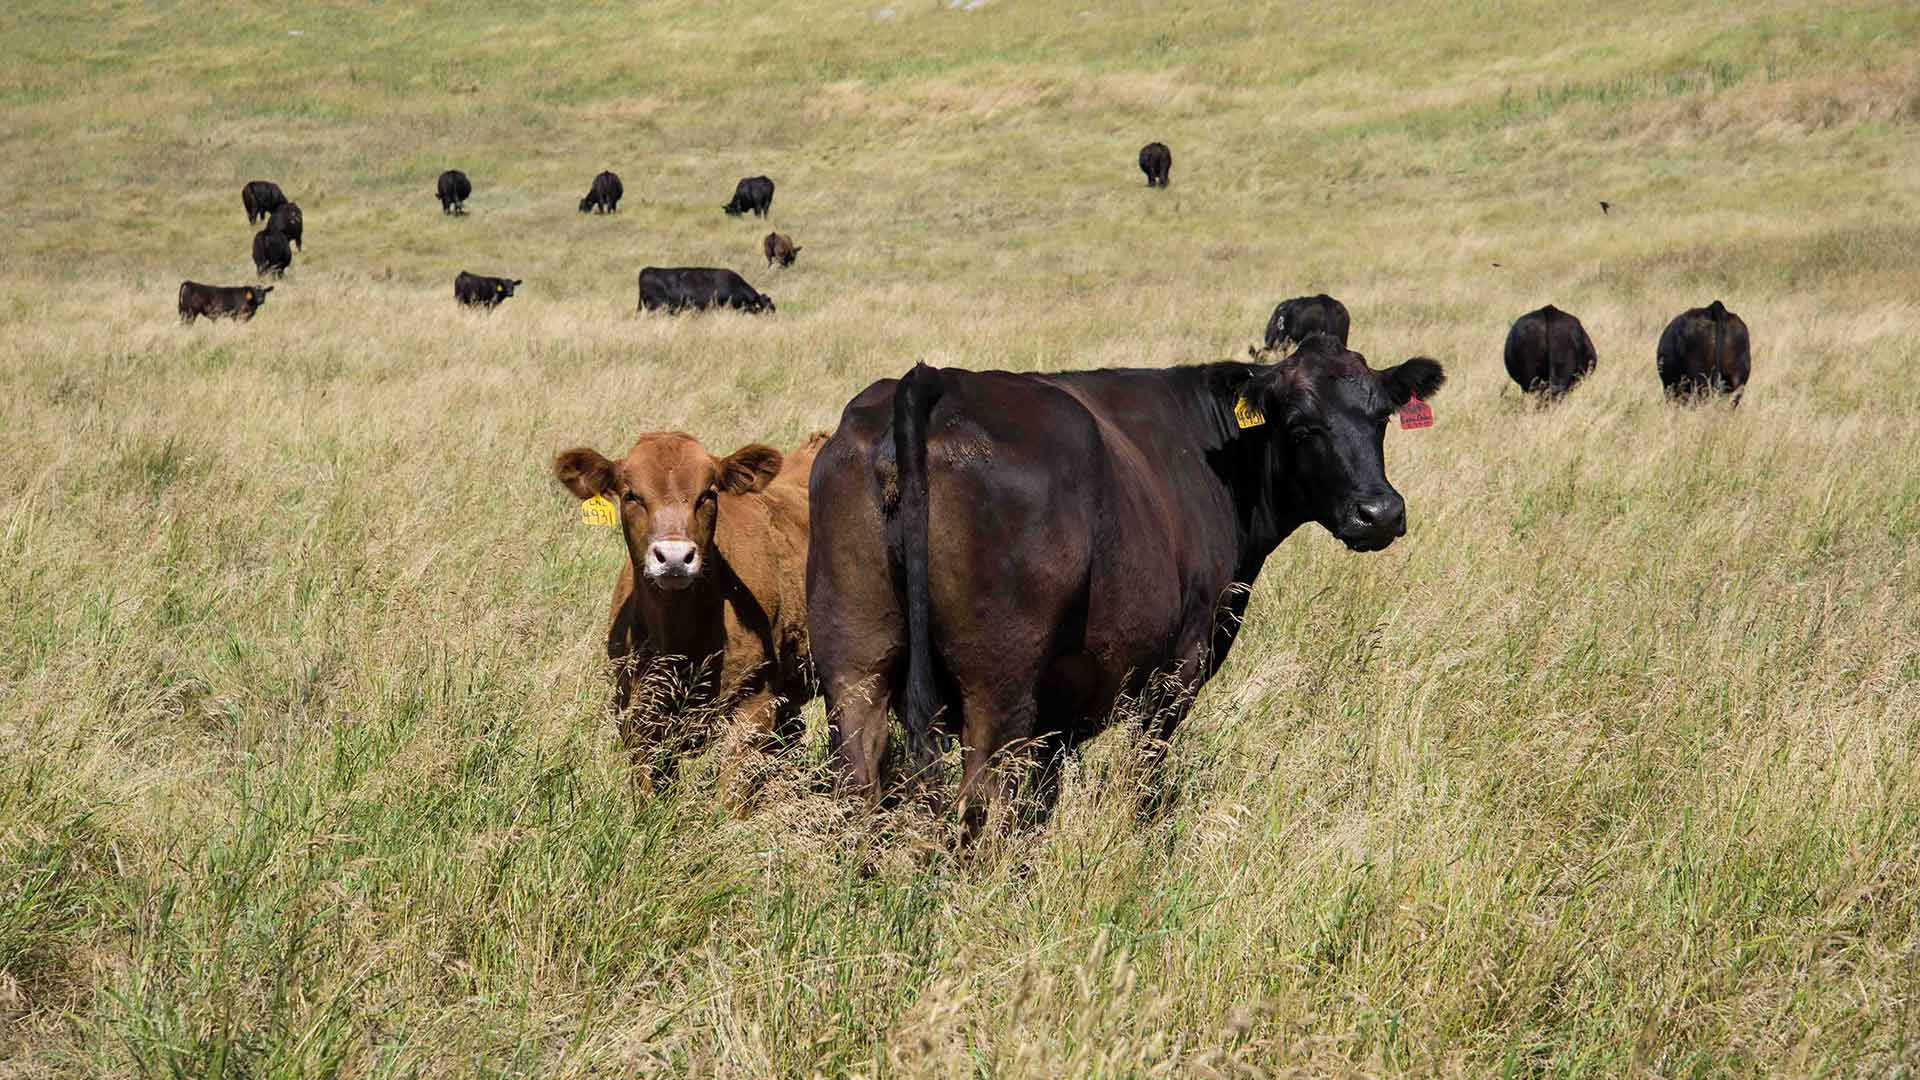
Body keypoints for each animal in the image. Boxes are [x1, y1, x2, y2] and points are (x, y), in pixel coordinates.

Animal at [552, 430, 827, 794]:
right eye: (631, 495)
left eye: (708, 494)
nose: (673, 556)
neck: (681, 644)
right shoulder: (636, 715)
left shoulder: (754, 705)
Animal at [808, 334, 1446, 834]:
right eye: (1299, 425)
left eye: (1381, 418)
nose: (1379, 513)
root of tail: (932, 381)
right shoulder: (1181, 665)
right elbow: (1144, 773)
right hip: (998, 684)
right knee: (984, 797)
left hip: (855, 664)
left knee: (858, 781)